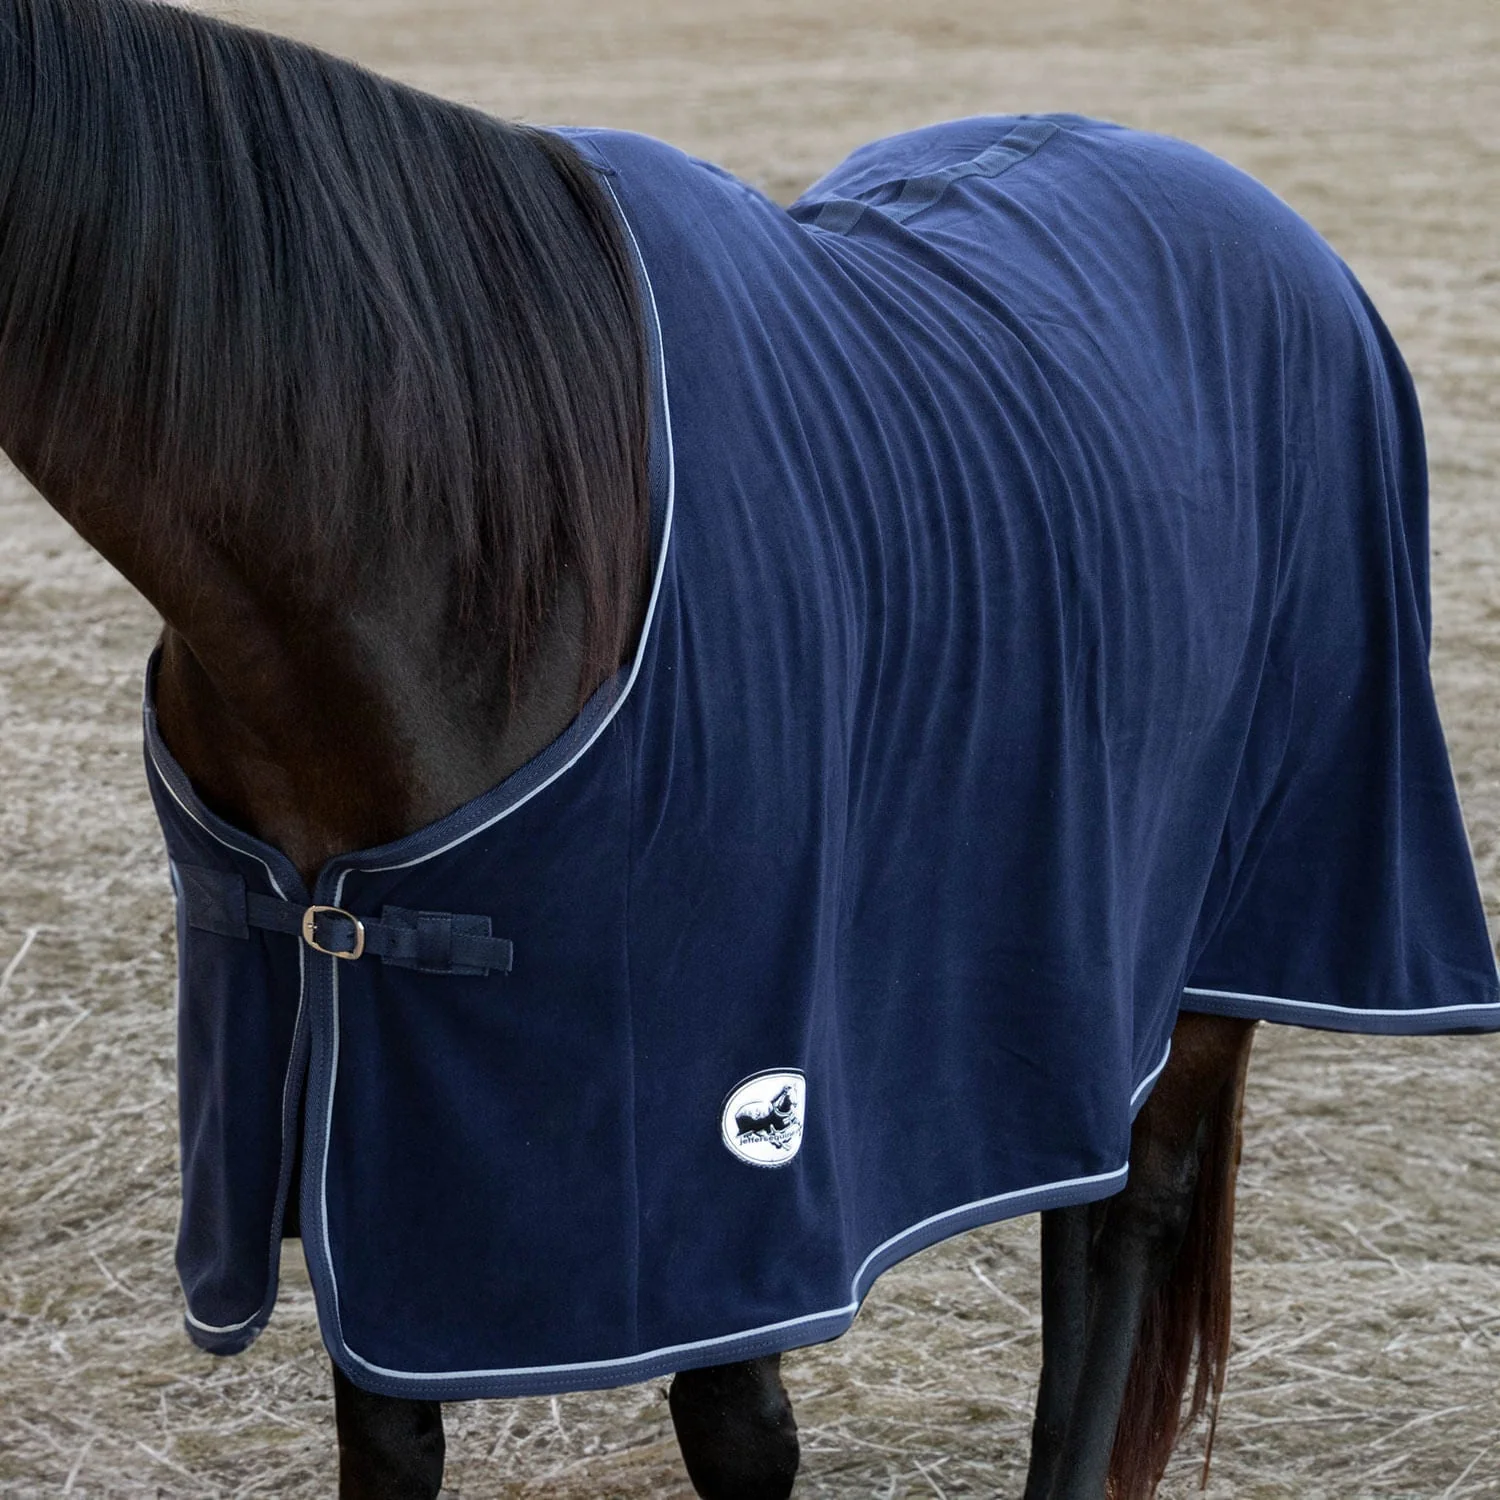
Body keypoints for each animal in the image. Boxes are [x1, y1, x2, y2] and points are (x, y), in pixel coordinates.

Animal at [4, 3, 1494, 1499]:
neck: (440, 536)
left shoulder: (723, 1189)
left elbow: (739, 1435)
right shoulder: (362, 1150)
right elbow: (389, 1434)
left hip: (1215, 946)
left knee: (1132, 1220)